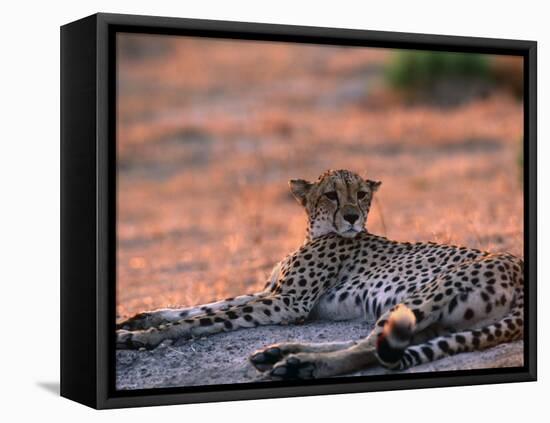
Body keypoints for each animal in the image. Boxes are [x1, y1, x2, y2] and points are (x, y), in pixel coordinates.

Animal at [117, 169, 528, 380]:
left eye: (361, 194)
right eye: (331, 194)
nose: (352, 216)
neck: (318, 232)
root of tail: (518, 264)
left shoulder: (287, 303)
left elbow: (209, 318)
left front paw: (145, 337)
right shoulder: (271, 292)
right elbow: (208, 305)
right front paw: (139, 319)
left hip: (424, 297)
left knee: (373, 347)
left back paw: (301, 364)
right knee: (377, 342)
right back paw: (281, 354)